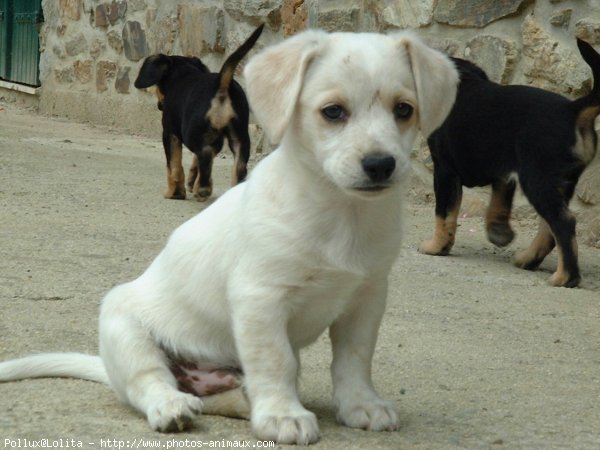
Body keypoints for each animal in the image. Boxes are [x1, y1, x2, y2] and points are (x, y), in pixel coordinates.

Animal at [138, 24, 264, 200]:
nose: (159, 105)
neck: (184, 74)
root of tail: (221, 85)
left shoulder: (170, 133)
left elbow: (174, 165)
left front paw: (174, 192)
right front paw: (190, 182)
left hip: (191, 133)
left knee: (204, 154)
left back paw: (203, 188)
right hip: (239, 136)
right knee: (236, 166)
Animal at [418, 40, 600, 290]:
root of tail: (572, 112)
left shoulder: (445, 171)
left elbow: (443, 214)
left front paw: (436, 247)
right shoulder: (503, 172)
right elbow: (499, 203)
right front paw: (499, 233)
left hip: (537, 179)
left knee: (563, 223)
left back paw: (565, 277)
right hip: (560, 183)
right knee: (549, 226)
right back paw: (528, 259)